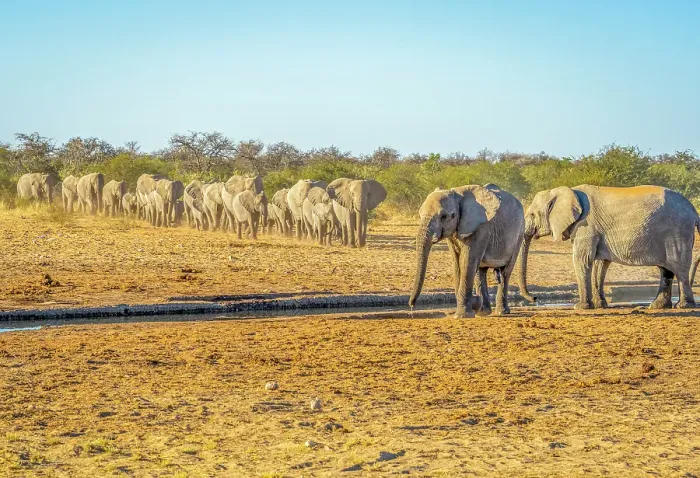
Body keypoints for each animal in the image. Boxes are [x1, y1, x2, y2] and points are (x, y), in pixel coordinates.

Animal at [409, 184, 525, 318]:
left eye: (444, 216)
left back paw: (501, 312)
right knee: (481, 271)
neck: (457, 194)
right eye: (420, 214)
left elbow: (467, 261)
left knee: (505, 272)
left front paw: (461, 315)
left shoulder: (481, 228)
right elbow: (457, 263)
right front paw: (472, 305)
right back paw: (483, 311)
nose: (412, 305)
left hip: (520, 233)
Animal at [518, 185, 700, 310]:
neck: (567, 190)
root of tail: (694, 211)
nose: (534, 299)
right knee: (666, 269)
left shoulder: (586, 226)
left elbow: (582, 260)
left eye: (532, 215)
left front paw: (581, 307)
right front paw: (600, 305)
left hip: (677, 232)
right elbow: (601, 263)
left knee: (679, 268)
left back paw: (683, 306)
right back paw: (657, 306)